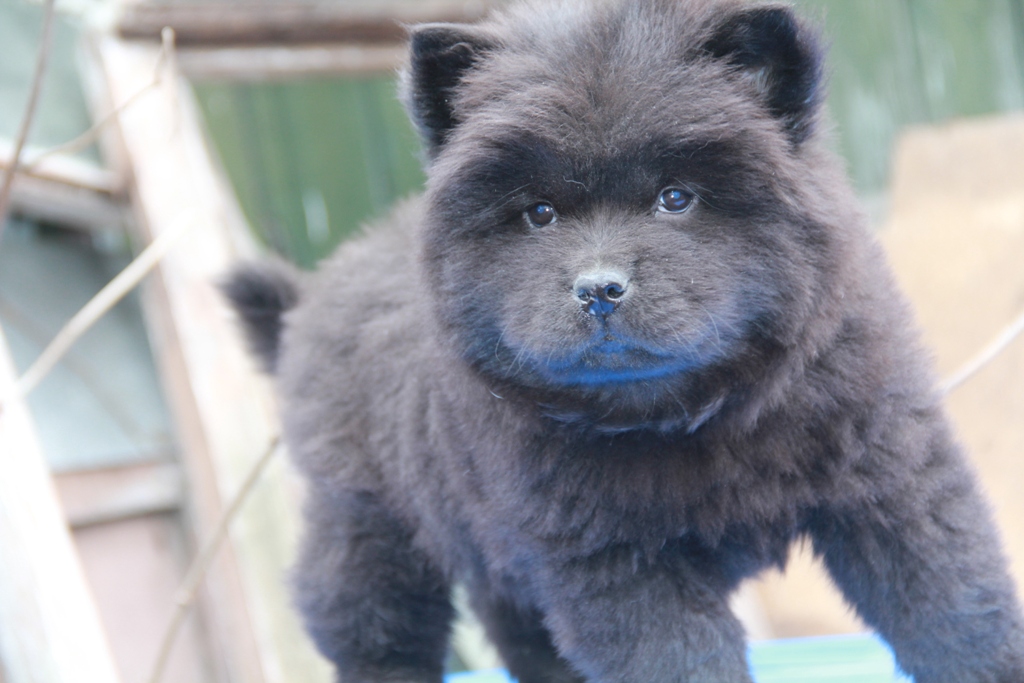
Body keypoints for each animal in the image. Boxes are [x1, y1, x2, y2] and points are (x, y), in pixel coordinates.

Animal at [223, 1, 1024, 680]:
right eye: (539, 213)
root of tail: (309, 299)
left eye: (676, 198)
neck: (694, 409)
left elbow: (955, 607)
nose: (599, 288)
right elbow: (682, 663)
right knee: (374, 633)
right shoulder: (618, 564)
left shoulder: (891, 480)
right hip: (372, 529)